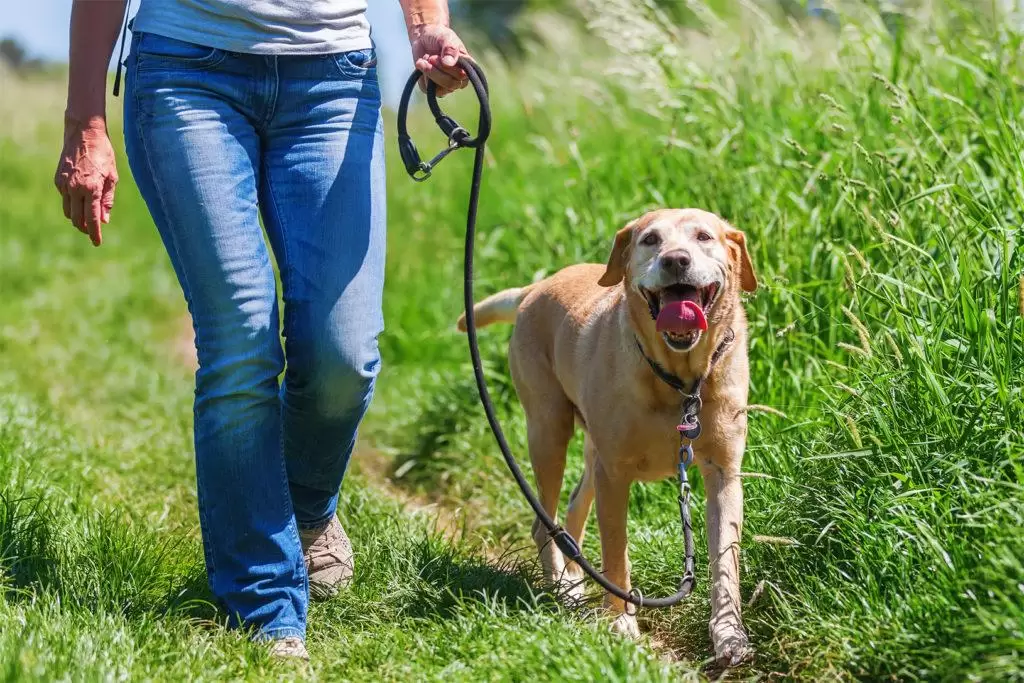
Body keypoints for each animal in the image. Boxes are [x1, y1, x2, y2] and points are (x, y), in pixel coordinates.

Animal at [456, 205, 753, 663]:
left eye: (704, 237)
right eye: (651, 239)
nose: (676, 260)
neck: (679, 381)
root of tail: (534, 288)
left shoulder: (723, 473)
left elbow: (725, 561)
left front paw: (728, 633)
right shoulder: (616, 474)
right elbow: (617, 552)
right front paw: (622, 623)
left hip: (592, 452)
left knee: (573, 512)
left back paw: (575, 582)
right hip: (549, 433)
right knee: (544, 522)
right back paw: (563, 587)